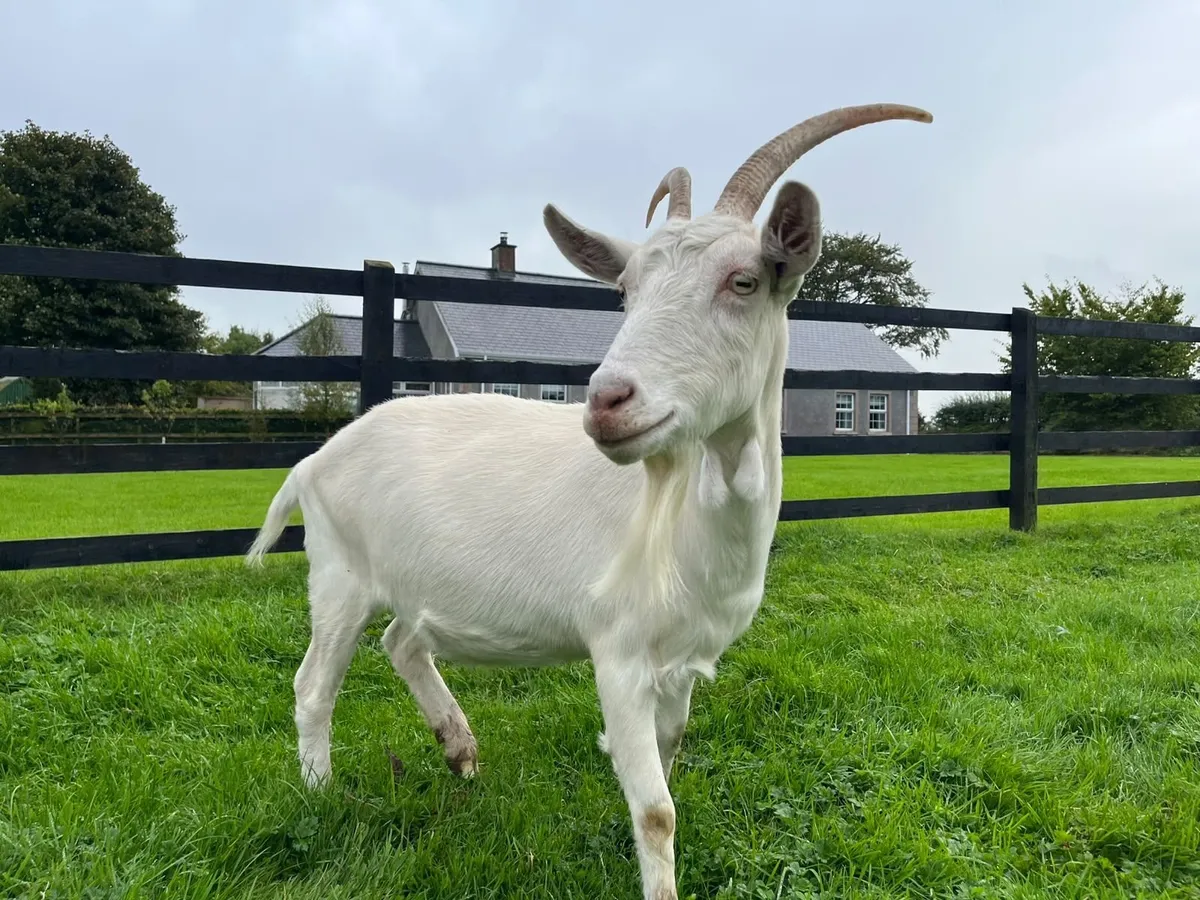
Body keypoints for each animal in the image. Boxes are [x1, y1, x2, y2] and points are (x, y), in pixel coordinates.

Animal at [246, 103, 932, 900]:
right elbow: (658, 811)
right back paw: (323, 795)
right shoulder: (619, 649)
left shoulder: (684, 659)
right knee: (314, 685)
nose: (607, 401)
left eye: (743, 280)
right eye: (625, 291)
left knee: (403, 641)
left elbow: (667, 763)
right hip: (337, 574)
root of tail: (314, 458)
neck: (696, 526)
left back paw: (460, 750)